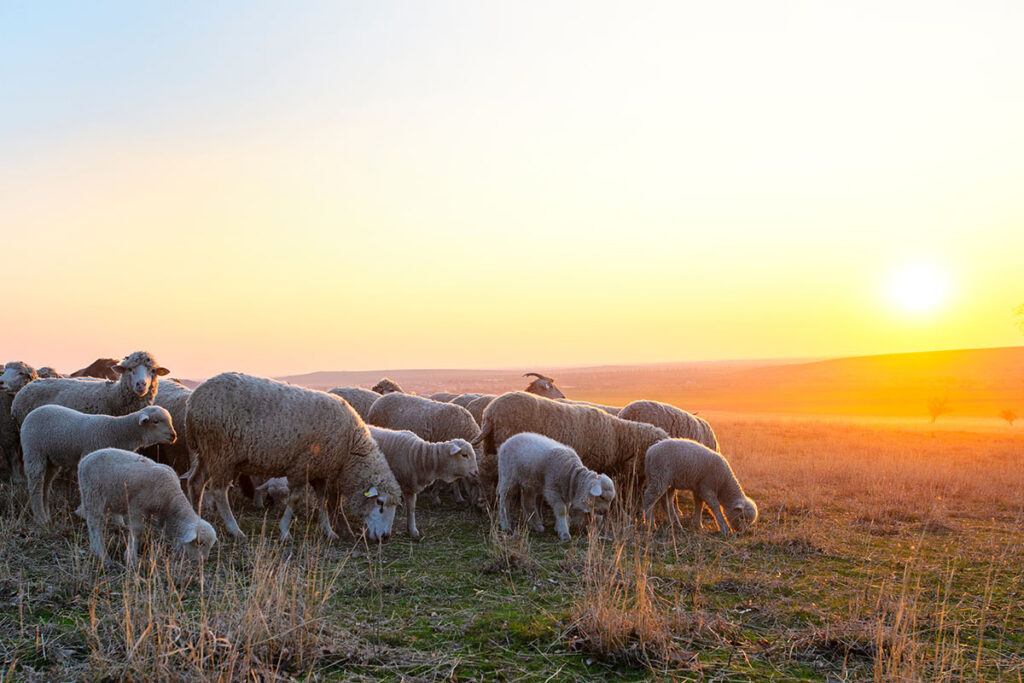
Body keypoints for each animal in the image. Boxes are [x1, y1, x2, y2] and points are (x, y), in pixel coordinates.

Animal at [20, 403, 177, 528]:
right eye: (156, 421)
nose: (173, 436)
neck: (117, 431)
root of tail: (33, 412)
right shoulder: (90, 456)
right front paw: (83, 512)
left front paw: (119, 523)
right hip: (34, 450)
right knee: (36, 483)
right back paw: (40, 518)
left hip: (50, 459)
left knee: (45, 484)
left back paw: (46, 514)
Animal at [77, 448, 218, 565]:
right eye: (199, 543)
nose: (203, 561)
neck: (170, 501)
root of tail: (83, 461)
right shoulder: (136, 508)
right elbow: (137, 531)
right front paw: (131, 558)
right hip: (94, 496)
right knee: (94, 526)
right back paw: (102, 556)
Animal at [186, 370, 401, 540]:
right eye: (380, 503)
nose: (385, 537)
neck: (349, 446)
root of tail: (194, 399)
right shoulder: (302, 466)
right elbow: (295, 499)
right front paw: (284, 531)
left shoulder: (320, 471)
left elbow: (322, 500)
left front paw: (329, 531)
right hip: (222, 452)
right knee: (218, 491)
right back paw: (235, 530)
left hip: (208, 453)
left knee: (196, 482)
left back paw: (196, 519)